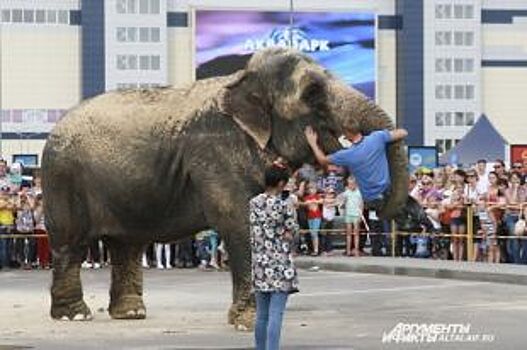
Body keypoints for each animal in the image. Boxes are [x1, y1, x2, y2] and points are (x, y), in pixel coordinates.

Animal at [43, 47, 410, 330]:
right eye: (312, 92)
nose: (379, 204)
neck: (241, 77)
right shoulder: (215, 152)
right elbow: (237, 222)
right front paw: (248, 323)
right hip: (63, 179)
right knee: (72, 244)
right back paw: (74, 316)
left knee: (127, 245)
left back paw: (131, 313)